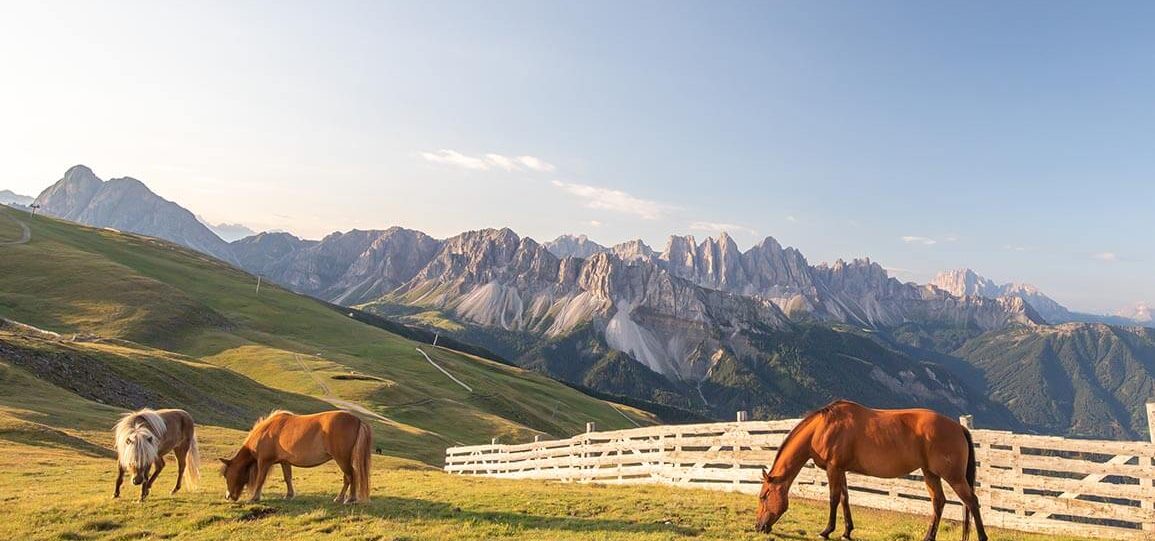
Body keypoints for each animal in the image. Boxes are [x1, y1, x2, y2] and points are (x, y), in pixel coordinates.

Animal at [218, 409, 371, 504]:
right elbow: (287, 478)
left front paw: (255, 497)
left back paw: (349, 499)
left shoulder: (264, 461)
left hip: (342, 459)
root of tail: (357, 420)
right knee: (348, 477)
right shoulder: (285, 462)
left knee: (351, 476)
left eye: (226, 475)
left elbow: (260, 479)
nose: (228, 496)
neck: (266, 432)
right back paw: (340, 498)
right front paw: (289, 495)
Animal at [753, 399, 988, 541]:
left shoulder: (833, 468)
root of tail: (958, 427)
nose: (758, 526)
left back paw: (982, 537)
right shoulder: (841, 470)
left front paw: (827, 530)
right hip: (930, 473)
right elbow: (845, 499)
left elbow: (833, 498)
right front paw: (847, 531)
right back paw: (928, 537)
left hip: (953, 476)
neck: (822, 427)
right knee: (938, 502)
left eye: (764, 496)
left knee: (972, 501)